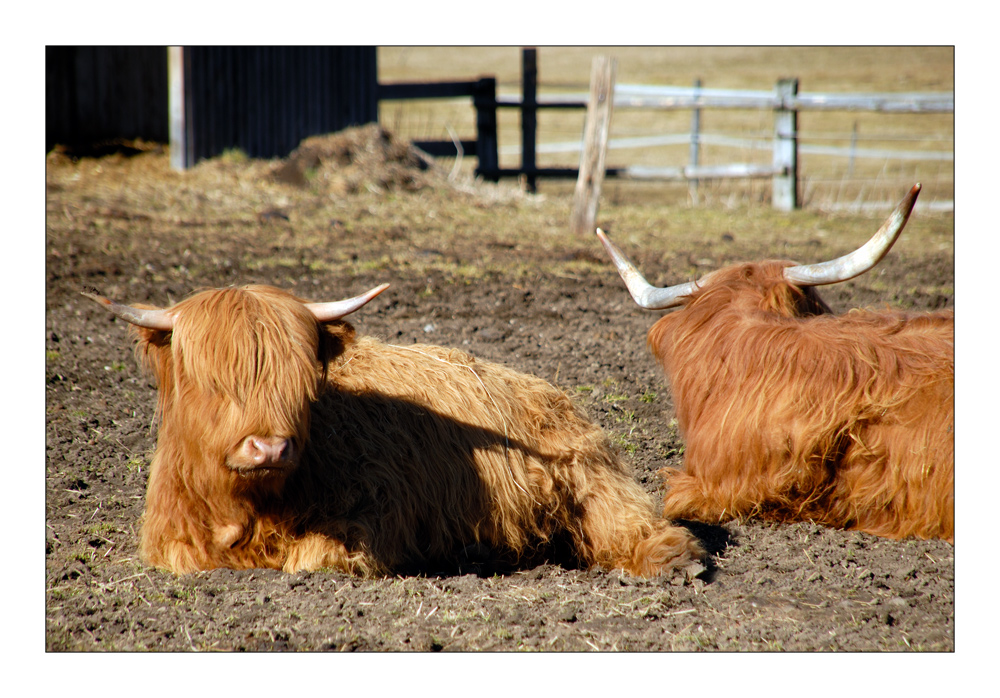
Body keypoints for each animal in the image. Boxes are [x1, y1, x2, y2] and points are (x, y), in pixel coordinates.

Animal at [86, 280, 704, 572]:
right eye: (212, 380)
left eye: (300, 380)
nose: (269, 447)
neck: (244, 507)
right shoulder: (169, 538)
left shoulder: (381, 511)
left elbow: (311, 559)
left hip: (590, 479)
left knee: (629, 525)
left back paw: (676, 559)